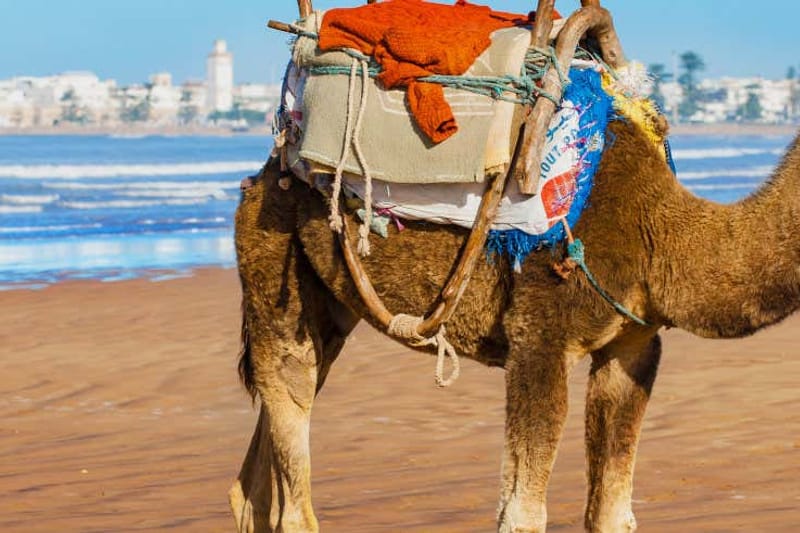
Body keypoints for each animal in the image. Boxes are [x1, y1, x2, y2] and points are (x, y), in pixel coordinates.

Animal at [228, 115, 800, 532]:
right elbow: (522, 512)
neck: (660, 232)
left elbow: (611, 510)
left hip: (326, 305)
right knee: (290, 432)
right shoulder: (540, 338)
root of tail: (260, 176)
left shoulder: (631, 346)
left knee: (257, 473)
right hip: (272, 263)